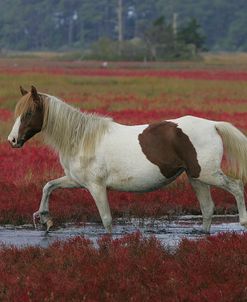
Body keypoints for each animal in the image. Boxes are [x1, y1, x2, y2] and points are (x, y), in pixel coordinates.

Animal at [7, 86, 247, 232]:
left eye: (29, 113)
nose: (12, 140)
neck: (82, 139)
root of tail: (213, 125)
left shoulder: (96, 186)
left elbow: (106, 220)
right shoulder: (75, 181)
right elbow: (48, 186)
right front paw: (44, 218)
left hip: (208, 174)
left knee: (236, 187)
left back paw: (243, 222)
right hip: (196, 178)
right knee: (207, 208)